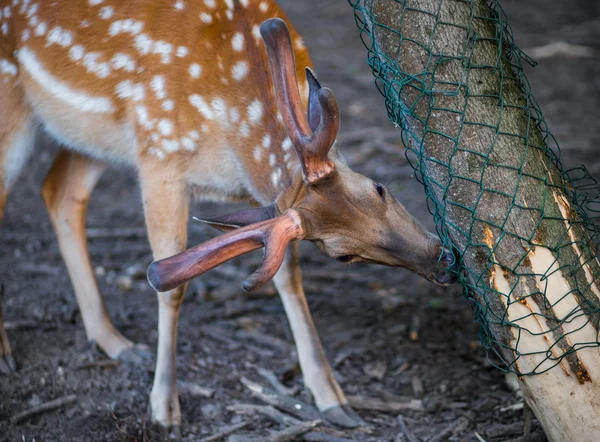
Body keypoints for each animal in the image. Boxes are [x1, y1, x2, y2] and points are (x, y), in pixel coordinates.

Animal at [0, 0, 454, 430]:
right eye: (343, 256)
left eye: (380, 188)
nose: (442, 261)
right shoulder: (159, 153)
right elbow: (170, 284)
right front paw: (164, 405)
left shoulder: (269, 204)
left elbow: (288, 276)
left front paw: (332, 396)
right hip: (16, 107)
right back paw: (10, 353)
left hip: (90, 137)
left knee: (59, 191)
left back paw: (114, 341)